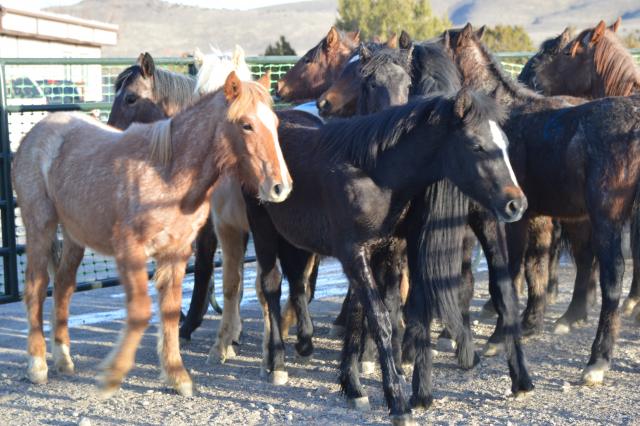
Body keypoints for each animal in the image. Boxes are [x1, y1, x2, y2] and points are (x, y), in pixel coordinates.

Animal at [13, 71, 292, 398]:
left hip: (74, 237)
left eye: (275, 122)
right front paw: (112, 375)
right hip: (40, 227)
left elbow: (169, 311)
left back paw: (63, 358)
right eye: (246, 124)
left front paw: (176, 374)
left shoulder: (176, 253)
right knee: (36, 288)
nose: (280, 187)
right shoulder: (130, 252)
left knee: (63, 288)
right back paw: (37, 364)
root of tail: (36, 132)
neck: (167, 172)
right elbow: (142, 311)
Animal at [244, 89, 524, 422]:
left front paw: (356, 385)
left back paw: (304, 344)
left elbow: (371, 312)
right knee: (271, 286)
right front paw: (398, 402)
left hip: (296, 240)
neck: (373, 175)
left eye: (506, 144)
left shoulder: (386, 250)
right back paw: (277, 362)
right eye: (477, 146)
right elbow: (380, 320)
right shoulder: (353, 255)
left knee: (298, 284)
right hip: (262, 229)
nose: (516, 204)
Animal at [442, 21, 640, 384]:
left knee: (612, 277)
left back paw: (597, 360)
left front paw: (499, 337)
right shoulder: (531, 216)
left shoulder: (511, 219)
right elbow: (530, 267)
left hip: (607, 219)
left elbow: (507, 274)